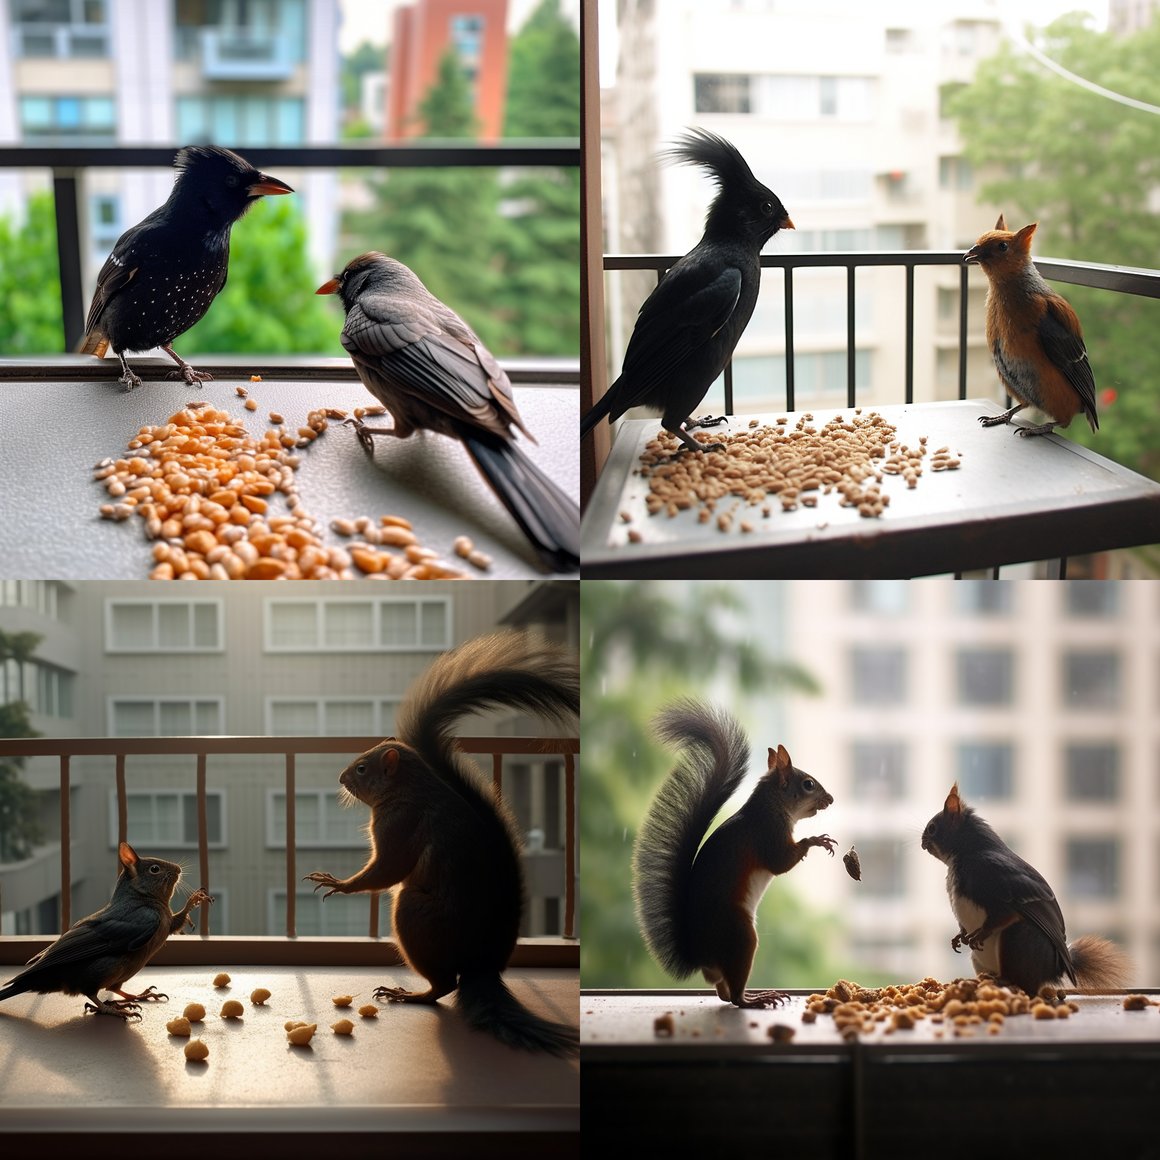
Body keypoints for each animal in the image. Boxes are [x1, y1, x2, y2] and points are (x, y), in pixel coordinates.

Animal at [0, 841, 210, 1019]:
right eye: (154, 869)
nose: (178, 869)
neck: (142, 898)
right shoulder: (148, 918)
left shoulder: (166, 923)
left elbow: (175, 922)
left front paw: (139, 995)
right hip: (101, 969)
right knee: (91, 993)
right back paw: (109, 1009)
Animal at [305, 629, 579, 1057]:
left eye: (363, 769)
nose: (341, 777)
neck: (410, 788)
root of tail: (481, 968)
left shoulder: (400, 825)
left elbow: (388, 869)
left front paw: (339, 883)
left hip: (413, 913)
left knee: (444, 985)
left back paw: (408, 995)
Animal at [632, 699, 835, 1009]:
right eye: (808, 784)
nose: (831, 799)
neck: (772, 806)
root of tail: (701, 956)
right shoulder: (768, 833)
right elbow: (780, 863)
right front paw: (815, 840)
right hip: (741, 936)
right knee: (734, 997)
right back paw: (756, 998)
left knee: (723, 993)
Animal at [922, 782, 1130, 995]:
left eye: (932, 828)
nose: (922, 843)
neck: (967, 852)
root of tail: (1057, 967)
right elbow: (962, 925)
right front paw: (959, 936)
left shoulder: (999, 890)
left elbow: (1000, 918)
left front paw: (980, 933)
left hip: (1018, 938)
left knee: (1024, 982)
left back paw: (1004, 983)